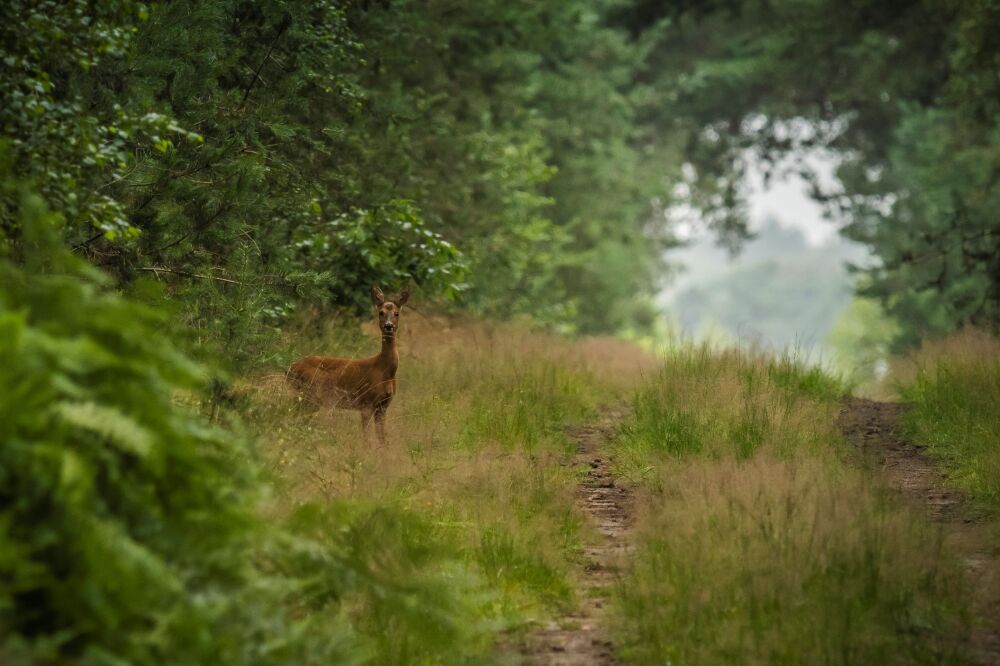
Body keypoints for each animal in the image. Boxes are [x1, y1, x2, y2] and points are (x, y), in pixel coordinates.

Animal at [290, 282, 410, 444]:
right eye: (381, 312)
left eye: (397, 313)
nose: (389, 326)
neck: (385, 370)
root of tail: (290, 368)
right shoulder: (366, 401)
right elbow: (366, 437)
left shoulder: (383, 406)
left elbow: (381, 439)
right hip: (310, 393)